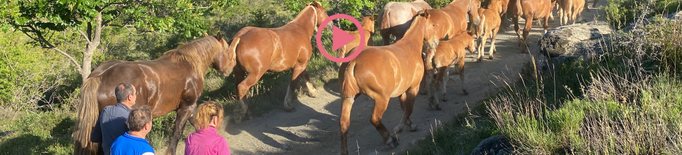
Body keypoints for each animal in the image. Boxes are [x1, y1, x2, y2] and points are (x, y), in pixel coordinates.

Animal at [72, 32, 231, 155]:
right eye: (226, 49)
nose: (229, 70)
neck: (189, 64)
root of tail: (100, 76)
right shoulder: (187, 107)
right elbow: (177, 133)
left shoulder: (187, 108)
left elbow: (197, 124)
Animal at [334, 10, 436, 154]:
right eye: (433, 25)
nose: (435, 43)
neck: (410, 45)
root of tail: (354, 61)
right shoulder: (413, 88)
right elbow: (409, 108)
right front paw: (399, 128)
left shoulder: (402, 91)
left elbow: (404, 107)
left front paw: (409, 124)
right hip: (382, 99)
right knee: (374, 119)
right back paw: (389, 139)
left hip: (347, 98)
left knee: (344, 123)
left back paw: (345, 150)